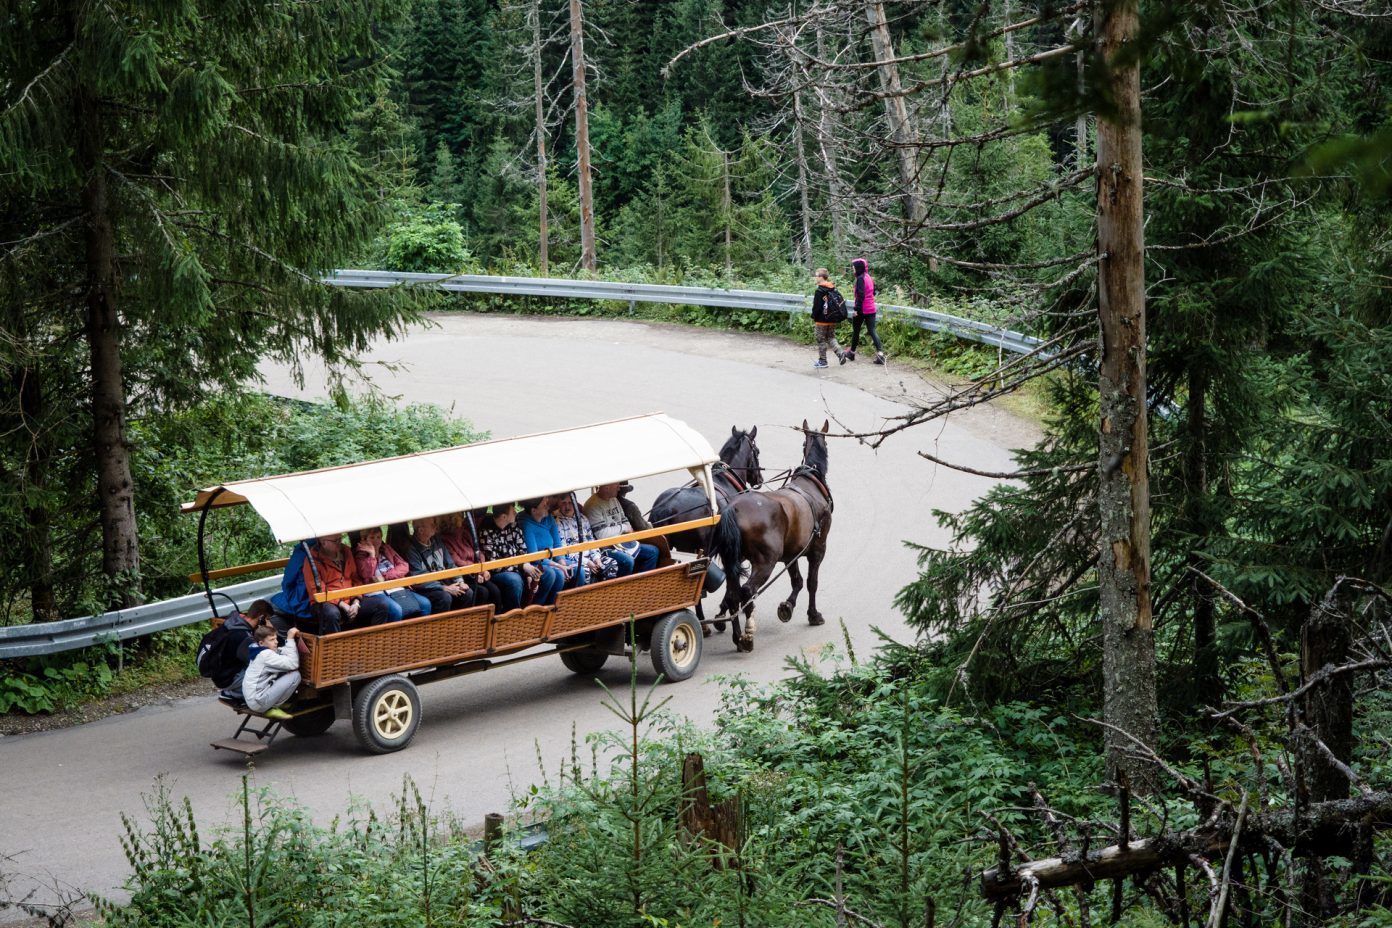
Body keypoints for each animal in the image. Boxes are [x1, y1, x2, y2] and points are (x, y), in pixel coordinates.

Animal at [712, 420, 829, 653]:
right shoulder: (818, 548)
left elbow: (797, 581)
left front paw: (787, 607)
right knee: (747, 591)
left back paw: (737, 637)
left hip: (733, 561)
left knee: (733, 594)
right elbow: (811, 582)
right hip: (766, 562)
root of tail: (733, 509)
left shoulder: (792, 553)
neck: (810, 481)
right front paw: (813, 615)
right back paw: (748, 635)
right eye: (756, 451)